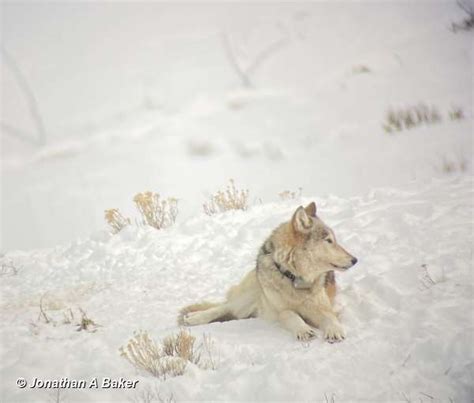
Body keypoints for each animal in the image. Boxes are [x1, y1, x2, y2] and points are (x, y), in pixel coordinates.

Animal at [178, 204, 356, 342]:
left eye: (334, 239)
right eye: (328, 240)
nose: (355, 260)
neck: (295, 278)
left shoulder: (323, 308)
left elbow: (330, 318)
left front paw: (335, 331)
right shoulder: (279, 311)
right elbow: (290, 314)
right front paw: (303, 329)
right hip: (248, 297)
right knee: (224, 307)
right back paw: (193, 318)